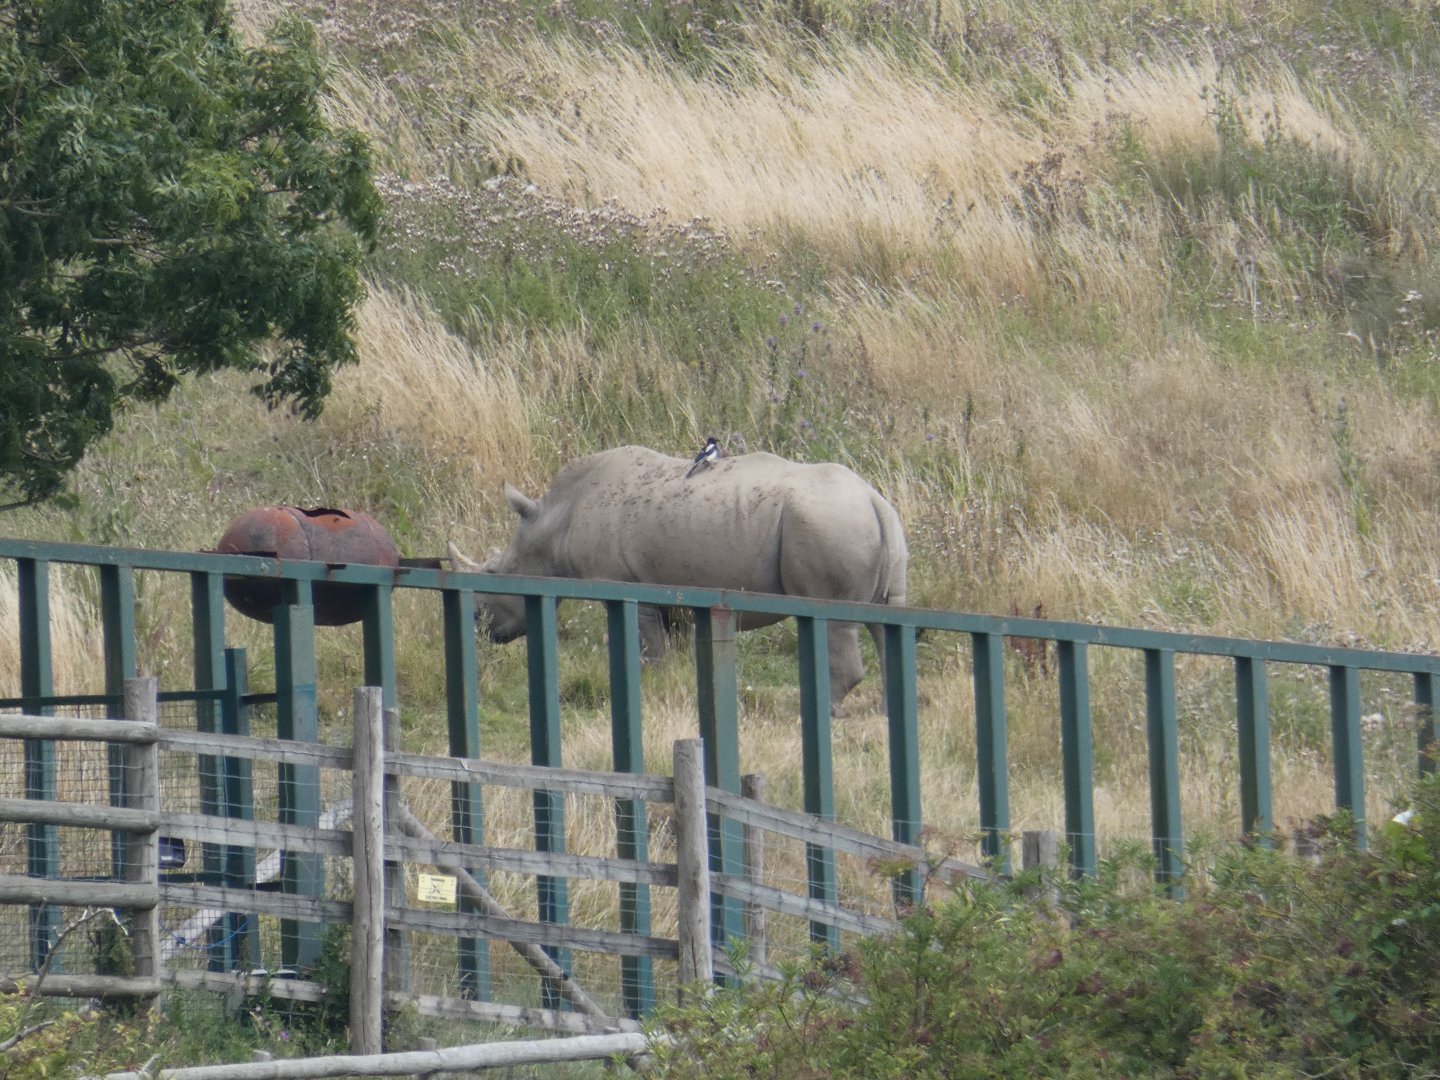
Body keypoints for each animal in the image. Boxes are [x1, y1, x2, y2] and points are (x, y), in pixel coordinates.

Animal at [449, 445, 908, 707]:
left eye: (493, 572)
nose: (476, 624)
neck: (552, 522)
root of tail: (873, 500)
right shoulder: (679, 592)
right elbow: (681, 649)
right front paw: (684, 688)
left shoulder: (628, 587)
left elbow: (651, 650)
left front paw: (650, 691)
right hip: (863, 524)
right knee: (885, 624)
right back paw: (890, 714)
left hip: (829, 524)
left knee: (837, 621)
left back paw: (814, 713)